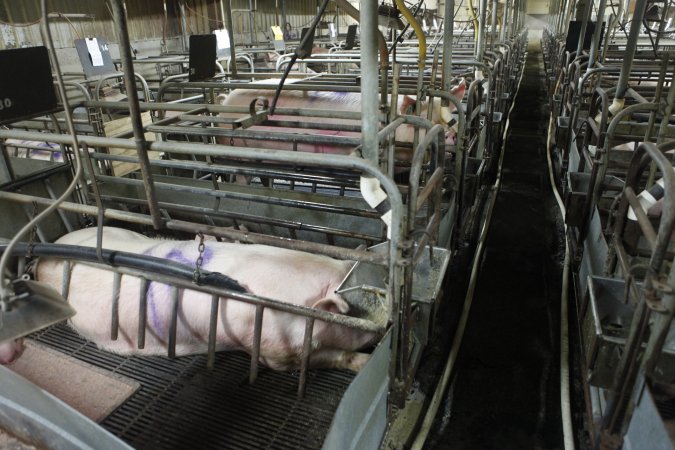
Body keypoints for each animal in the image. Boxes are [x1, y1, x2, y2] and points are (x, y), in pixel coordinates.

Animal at [29, 227, 380, 370]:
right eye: (356, 318)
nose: (382, 332)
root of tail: (41, 261)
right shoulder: (271, 351)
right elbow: (325, 358)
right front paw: (362, 363)